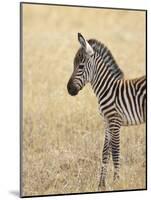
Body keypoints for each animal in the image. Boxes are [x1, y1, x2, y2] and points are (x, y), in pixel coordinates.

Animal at [66, 32, 146, 189]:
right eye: (73, 65)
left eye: (81, 66)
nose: (69, 89)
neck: (107, 88)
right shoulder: (107, 122)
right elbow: (105, 152)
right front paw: (101, 184)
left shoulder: (115, 121)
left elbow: (115, 151)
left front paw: (116, 182)